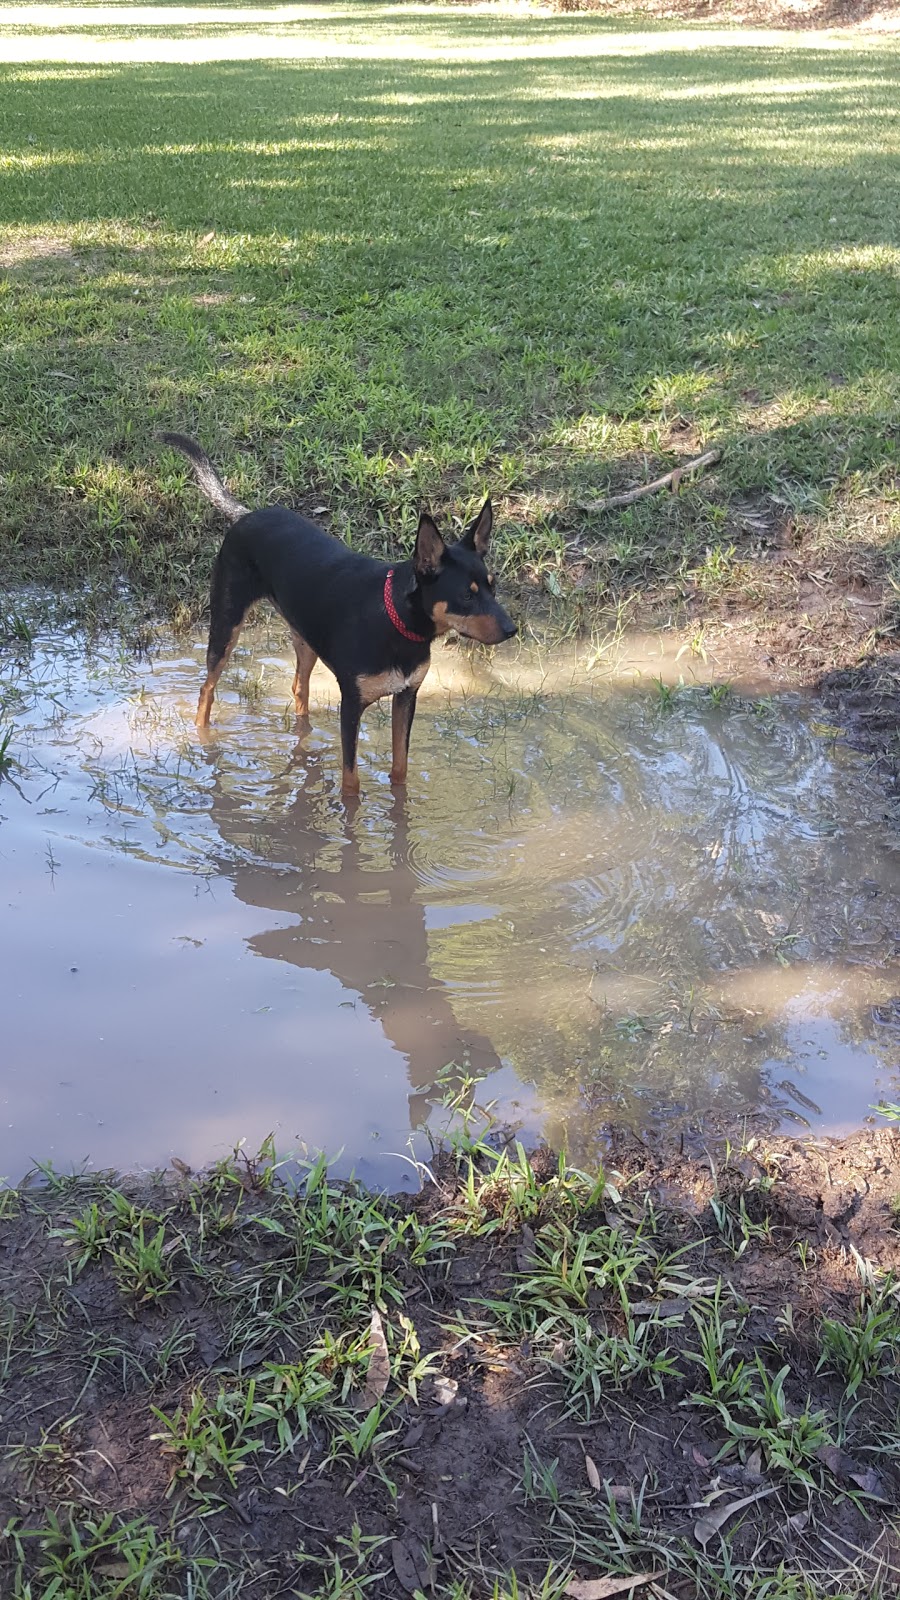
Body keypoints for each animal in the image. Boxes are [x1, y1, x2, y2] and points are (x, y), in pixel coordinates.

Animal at [160, 435, 512, 790]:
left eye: (492, 586)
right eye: (465, 596)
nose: (512, 630)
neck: (397, 621)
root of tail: (245, 515)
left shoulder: (406, 697)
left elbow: (400, 768)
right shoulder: (351, 706)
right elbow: (351, 781)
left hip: (304, 638)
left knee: (299, 689)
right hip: (226, 625)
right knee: (207, 689)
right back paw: (204, 739)